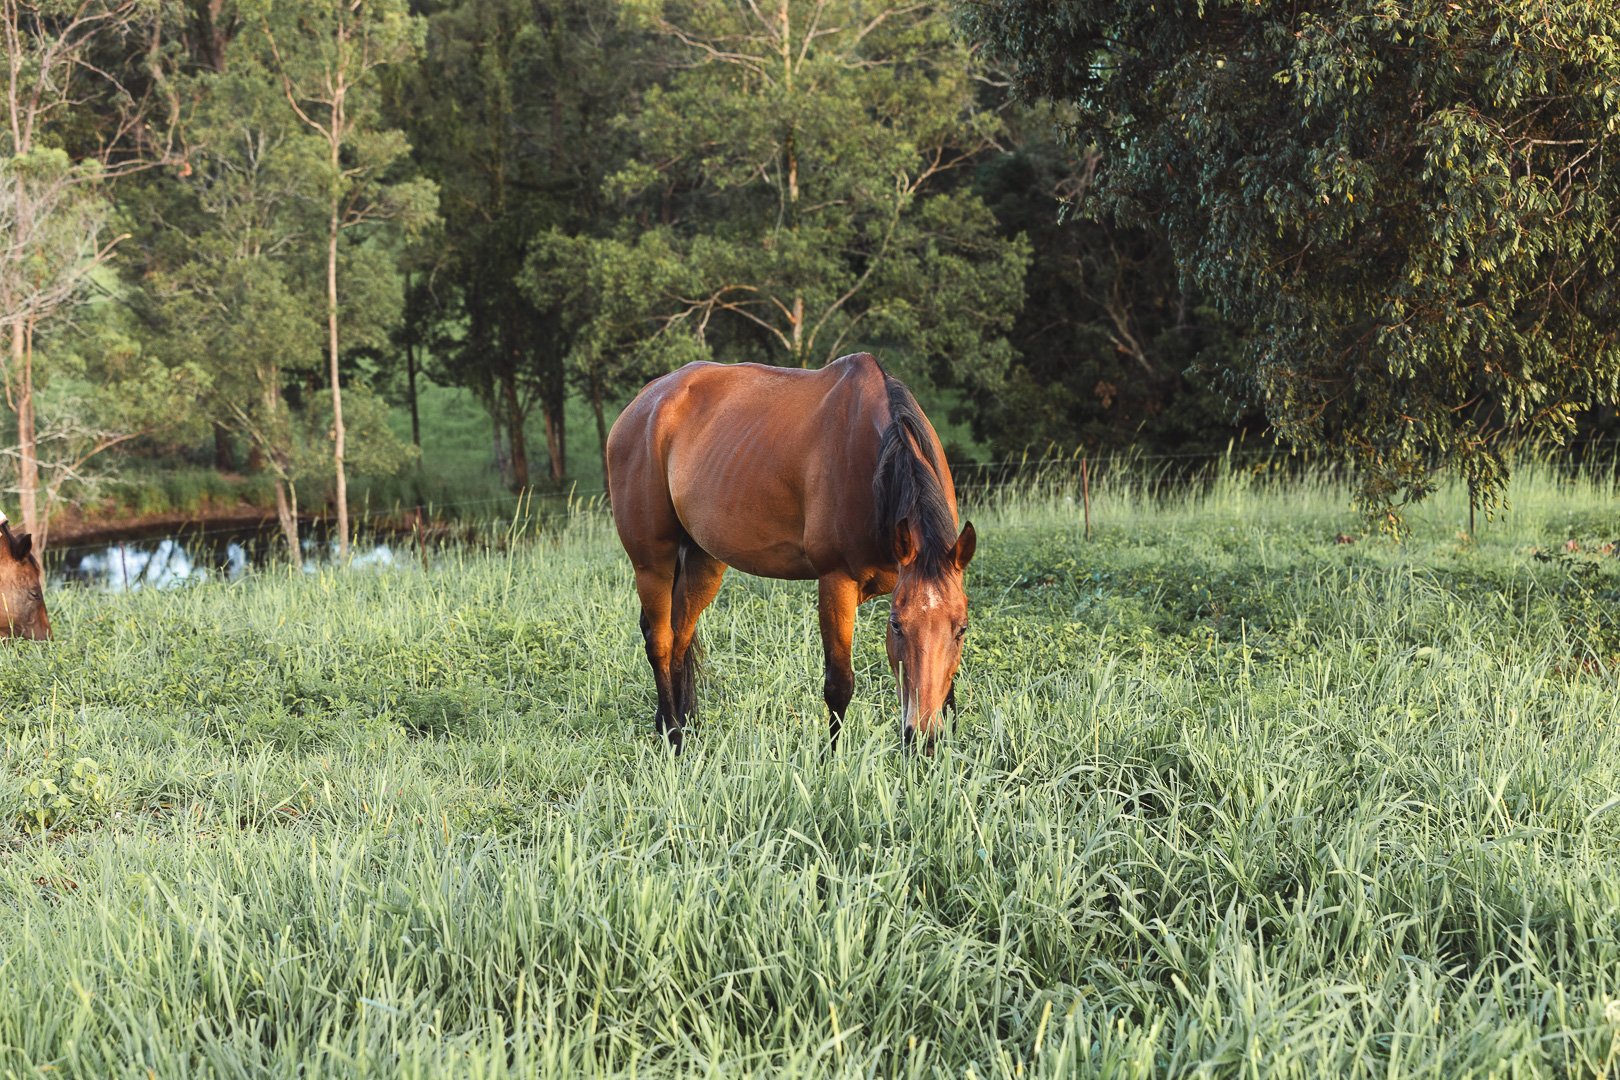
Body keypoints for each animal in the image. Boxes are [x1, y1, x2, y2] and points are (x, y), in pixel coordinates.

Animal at [606, 352, 975, 753]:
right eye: (896, 625)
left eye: (962, 629)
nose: (923, 739)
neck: (873, 462)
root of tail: (645, 402)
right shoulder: (836, 582)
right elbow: (839, 684)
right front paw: (833, 758)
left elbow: (947, 689)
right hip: (652, 563)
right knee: (660, 642)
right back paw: (674, 739)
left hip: (704, 562)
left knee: (679, 637)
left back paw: (679, 726)